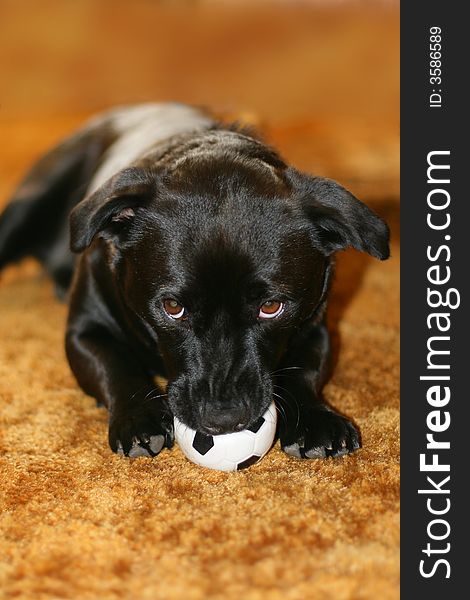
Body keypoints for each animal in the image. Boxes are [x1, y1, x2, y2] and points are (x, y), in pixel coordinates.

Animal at [0, 103, 390, 460]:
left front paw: (316, 420)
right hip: (27, 206)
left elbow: (304, 371)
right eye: (172, 307)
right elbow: (115, 366)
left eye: (271, 307)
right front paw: (139, 417)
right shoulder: (84, 332)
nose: (223, 418)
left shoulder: (315, 326)